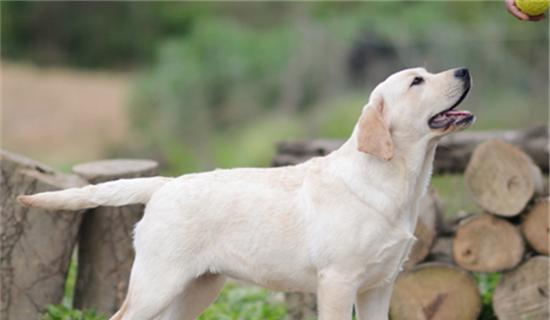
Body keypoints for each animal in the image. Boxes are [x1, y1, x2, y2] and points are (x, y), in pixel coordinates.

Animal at [17, 67, 474, 320]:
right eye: (417, 81)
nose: (464, 71)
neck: (393, 178)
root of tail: (165, 183)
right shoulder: (337, 282)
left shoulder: (379, 286)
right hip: (157, 281)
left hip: (198, 286)